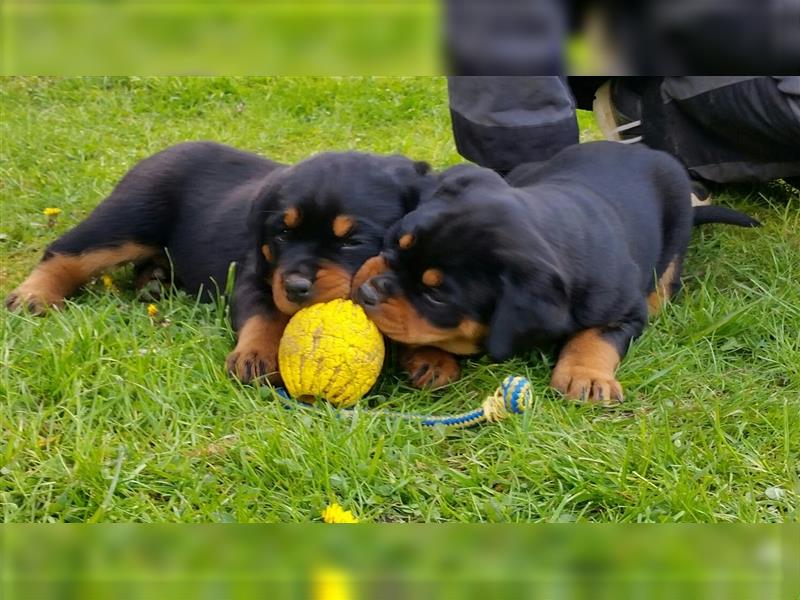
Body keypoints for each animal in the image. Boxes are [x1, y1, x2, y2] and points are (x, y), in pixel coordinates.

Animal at [6, 141, 434, 384]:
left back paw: (154, 280)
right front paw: (258, 356)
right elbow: (264, 313)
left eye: (354, 241)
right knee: (67, 250)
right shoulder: (255, 275)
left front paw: (432, 359)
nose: (295, 287)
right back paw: (33, 296)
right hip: (131, 218)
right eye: (282, 234)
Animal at [354, 141, 760, 404]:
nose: (367, 292)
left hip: (677, 221)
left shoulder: (624, 312)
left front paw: (587, 376)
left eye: (436, 295)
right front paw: (431, 357)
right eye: (395, 243)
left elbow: (594, 337)